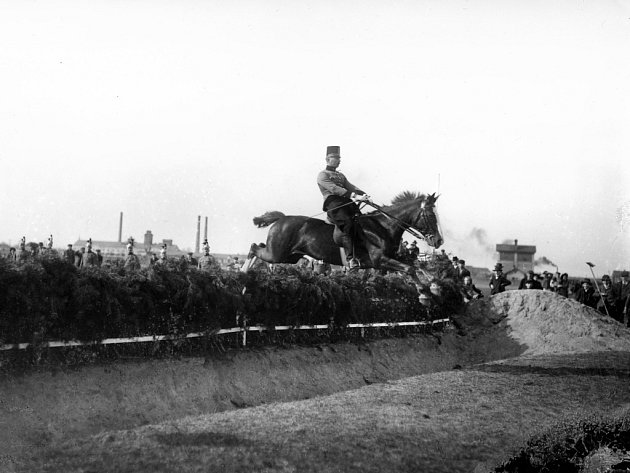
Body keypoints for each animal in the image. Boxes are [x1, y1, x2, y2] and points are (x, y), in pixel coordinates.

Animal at [242, 191, 444, 282]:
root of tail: (282, 218)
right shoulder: (380, 260)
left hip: (290, 256)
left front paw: (432, 281)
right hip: (277, 253)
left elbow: (415, 265)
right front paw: (424, 293)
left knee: (258, 246)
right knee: (253, 248)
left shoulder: (392, 257)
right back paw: (243, 272)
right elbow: (409, 269)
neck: (383, 226)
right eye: (430, 215)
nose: (439, 241)